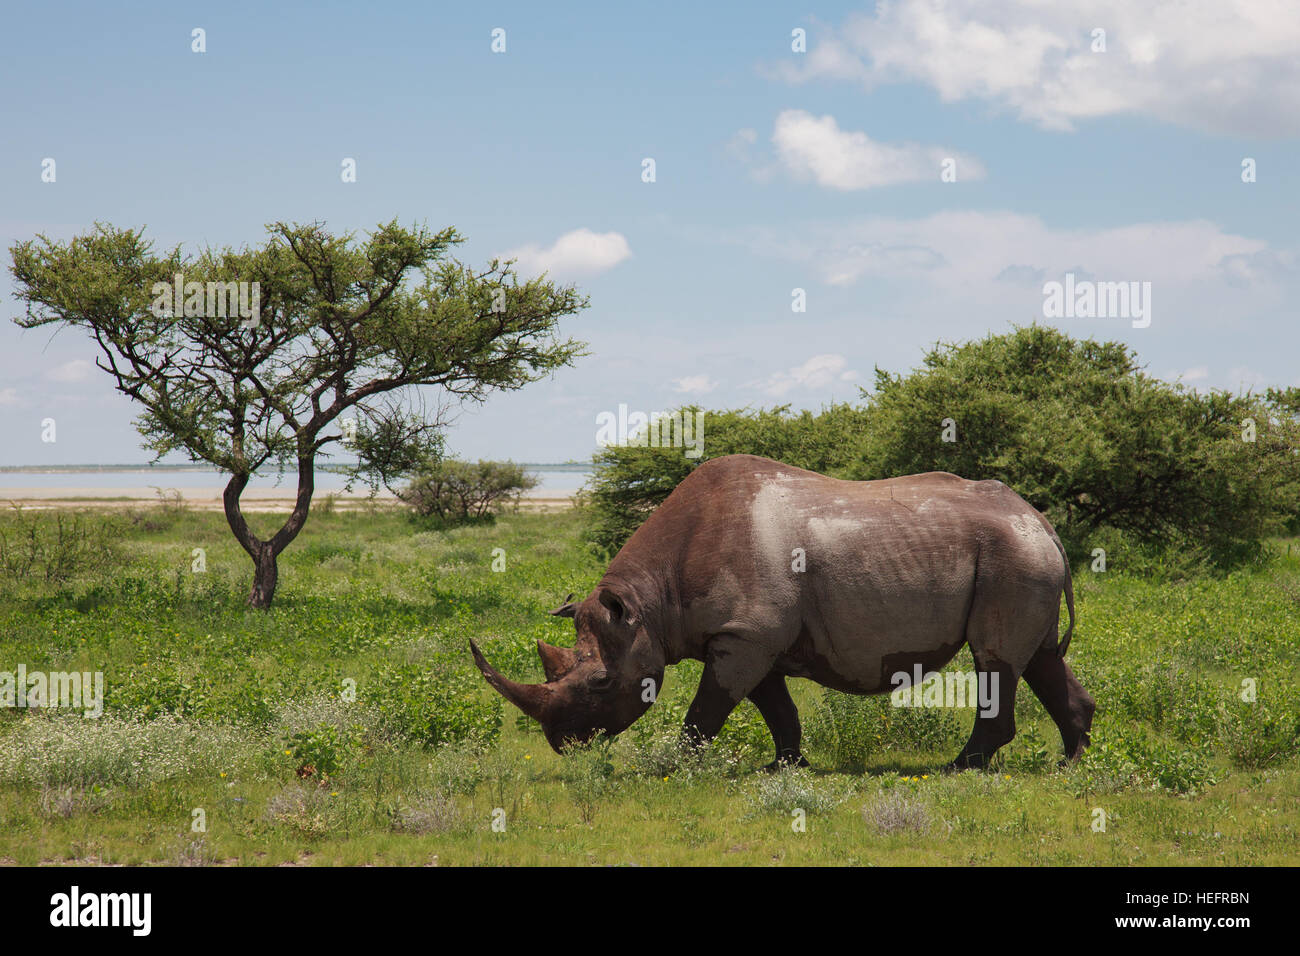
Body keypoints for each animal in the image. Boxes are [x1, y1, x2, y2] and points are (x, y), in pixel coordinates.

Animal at [473, 452, 1092, 775]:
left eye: (600, 683)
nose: (562, 744)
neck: (648, 605)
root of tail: (1042, 521)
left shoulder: (745, 636)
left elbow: (706, 711)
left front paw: (675, 767)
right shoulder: (749, 635)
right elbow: (776, 708)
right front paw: (786, 767)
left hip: (1012, 555)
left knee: (996, 659)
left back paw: (958, 768)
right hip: (1021, 556)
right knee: (1038, 657)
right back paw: (1073, 766)